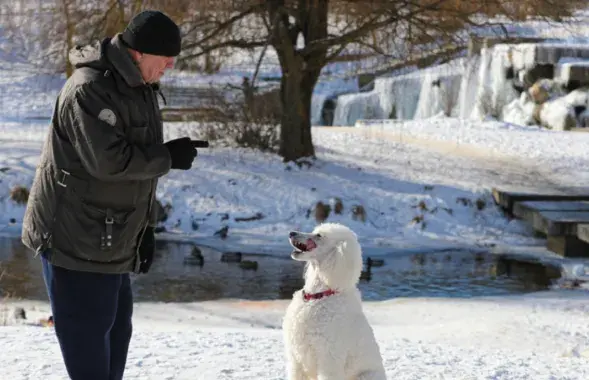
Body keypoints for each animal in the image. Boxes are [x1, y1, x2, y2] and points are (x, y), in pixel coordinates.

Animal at [280, 223, 386, 380]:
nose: (291, 233)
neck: (319, 295)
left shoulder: (328, 359)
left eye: (319, 235)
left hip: (366, 376)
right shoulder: (296, 359)